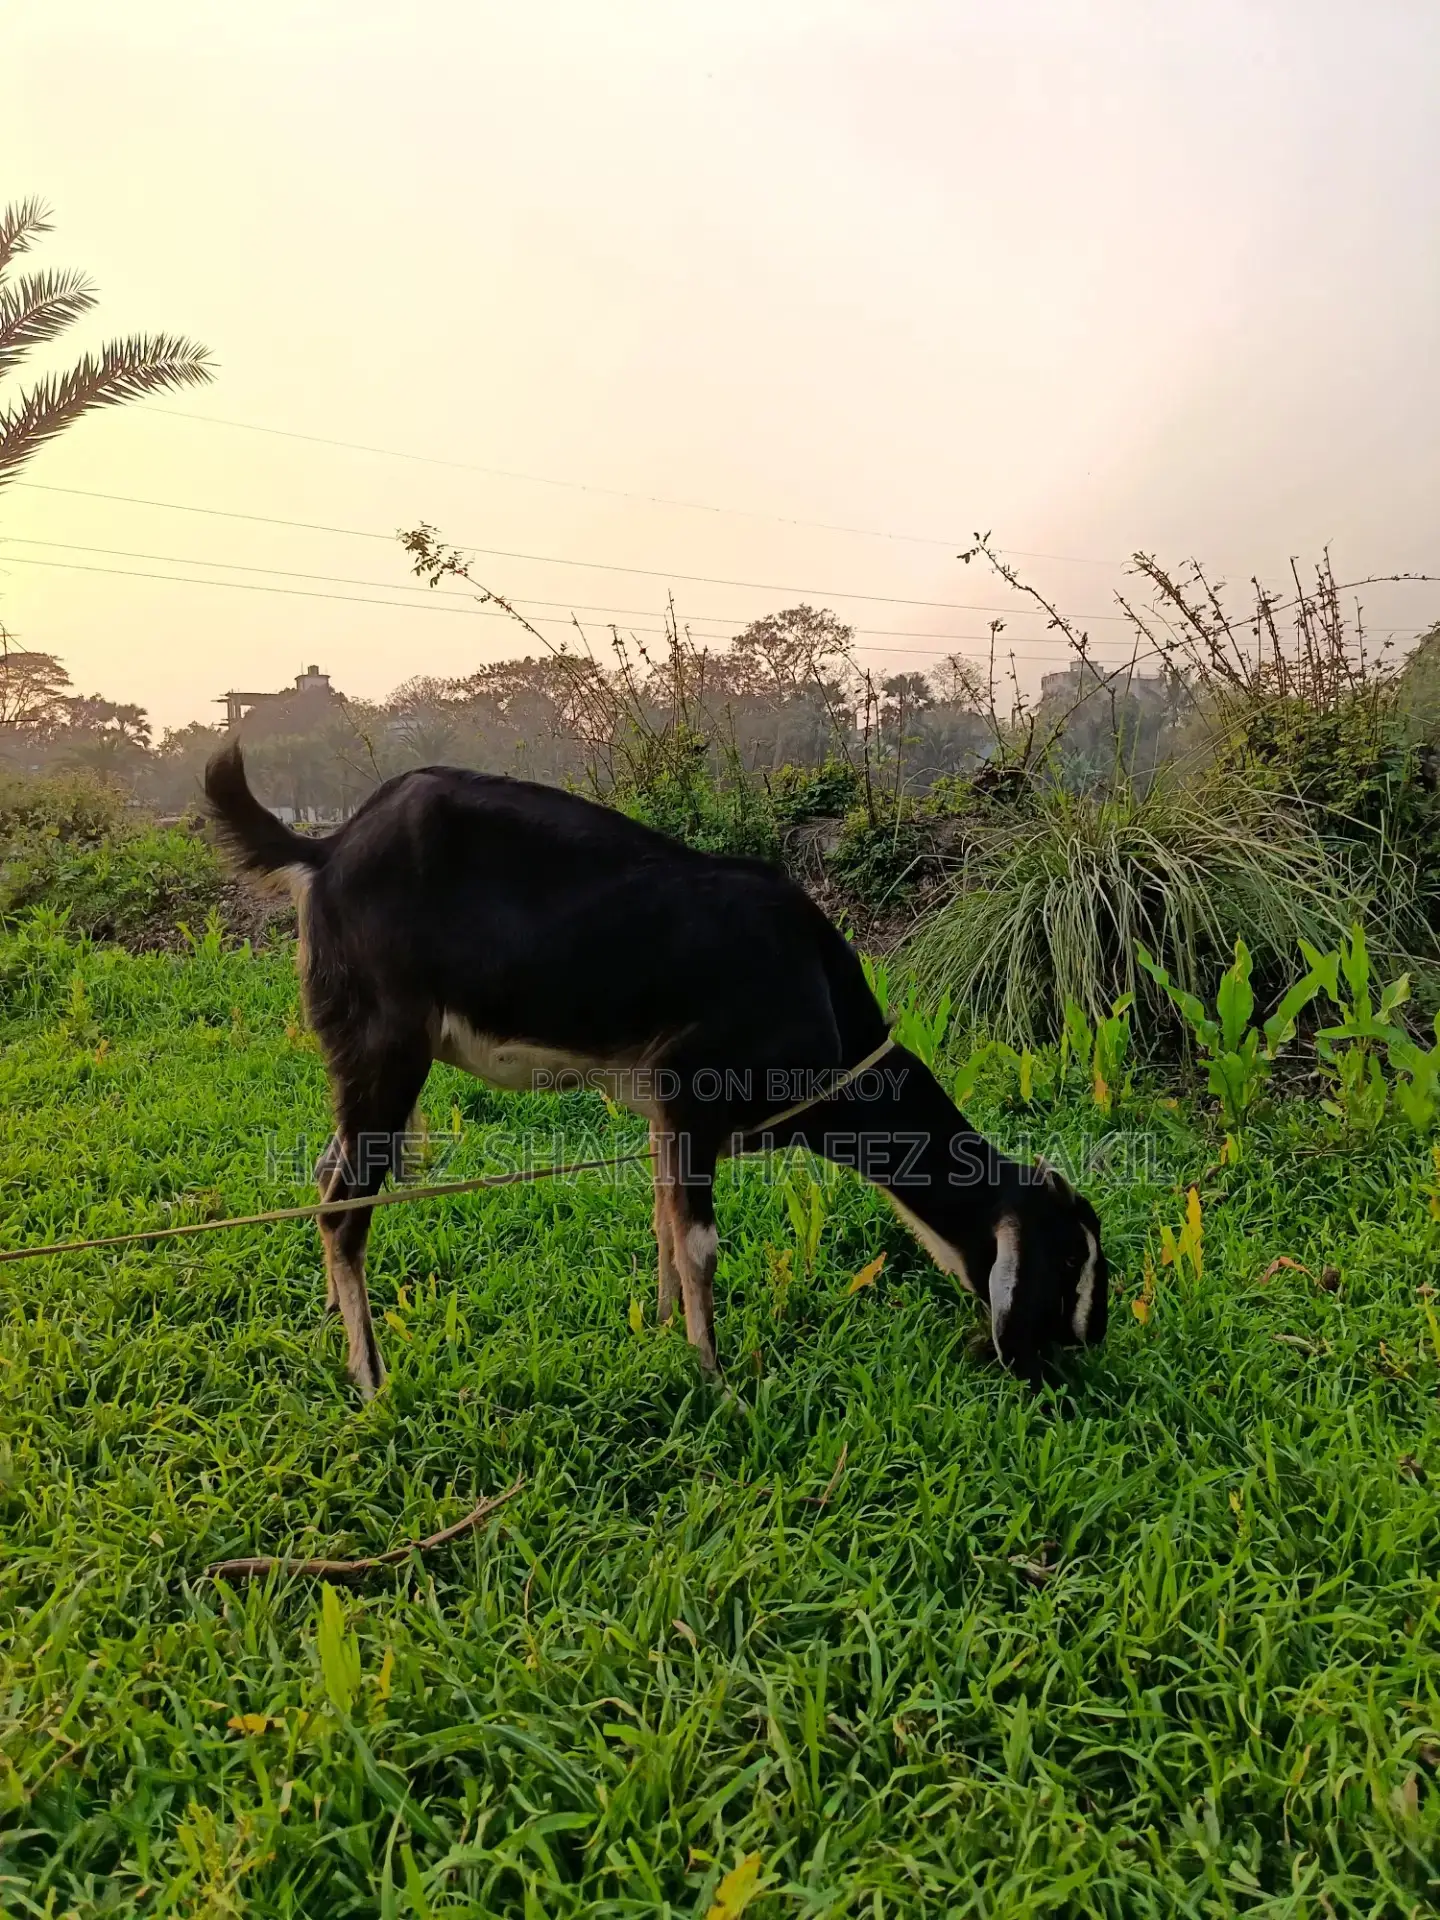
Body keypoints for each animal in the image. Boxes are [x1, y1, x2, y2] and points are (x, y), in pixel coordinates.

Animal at [204, 745, 1108, 1396]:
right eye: (1069, 1260)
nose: (1084, 1343)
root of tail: (326, 847)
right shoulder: (697, 1094)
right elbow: (701, 1241)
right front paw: (716, 1381)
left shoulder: (664, 1117)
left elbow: (665, 1225)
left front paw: (666, 1333)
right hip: (387, 1040)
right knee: (346, 1204)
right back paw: (371, 1379)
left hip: (358, 1053)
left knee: (326, 1172)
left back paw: (332, 1314)